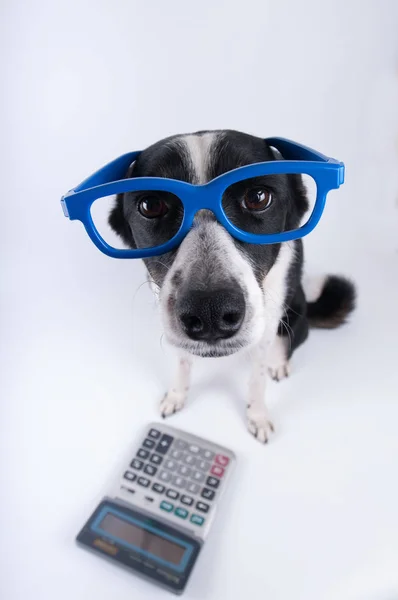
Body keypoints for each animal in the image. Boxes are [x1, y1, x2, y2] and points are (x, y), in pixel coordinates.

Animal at [108, 130, 354, 440]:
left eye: (258, 197)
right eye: (151, 205)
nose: (209, 312)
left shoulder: (265, 329)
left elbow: (257, 379)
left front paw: (257, 416)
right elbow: (181, 363)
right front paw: (176, 396)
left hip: (295, 315)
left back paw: (279, 363)